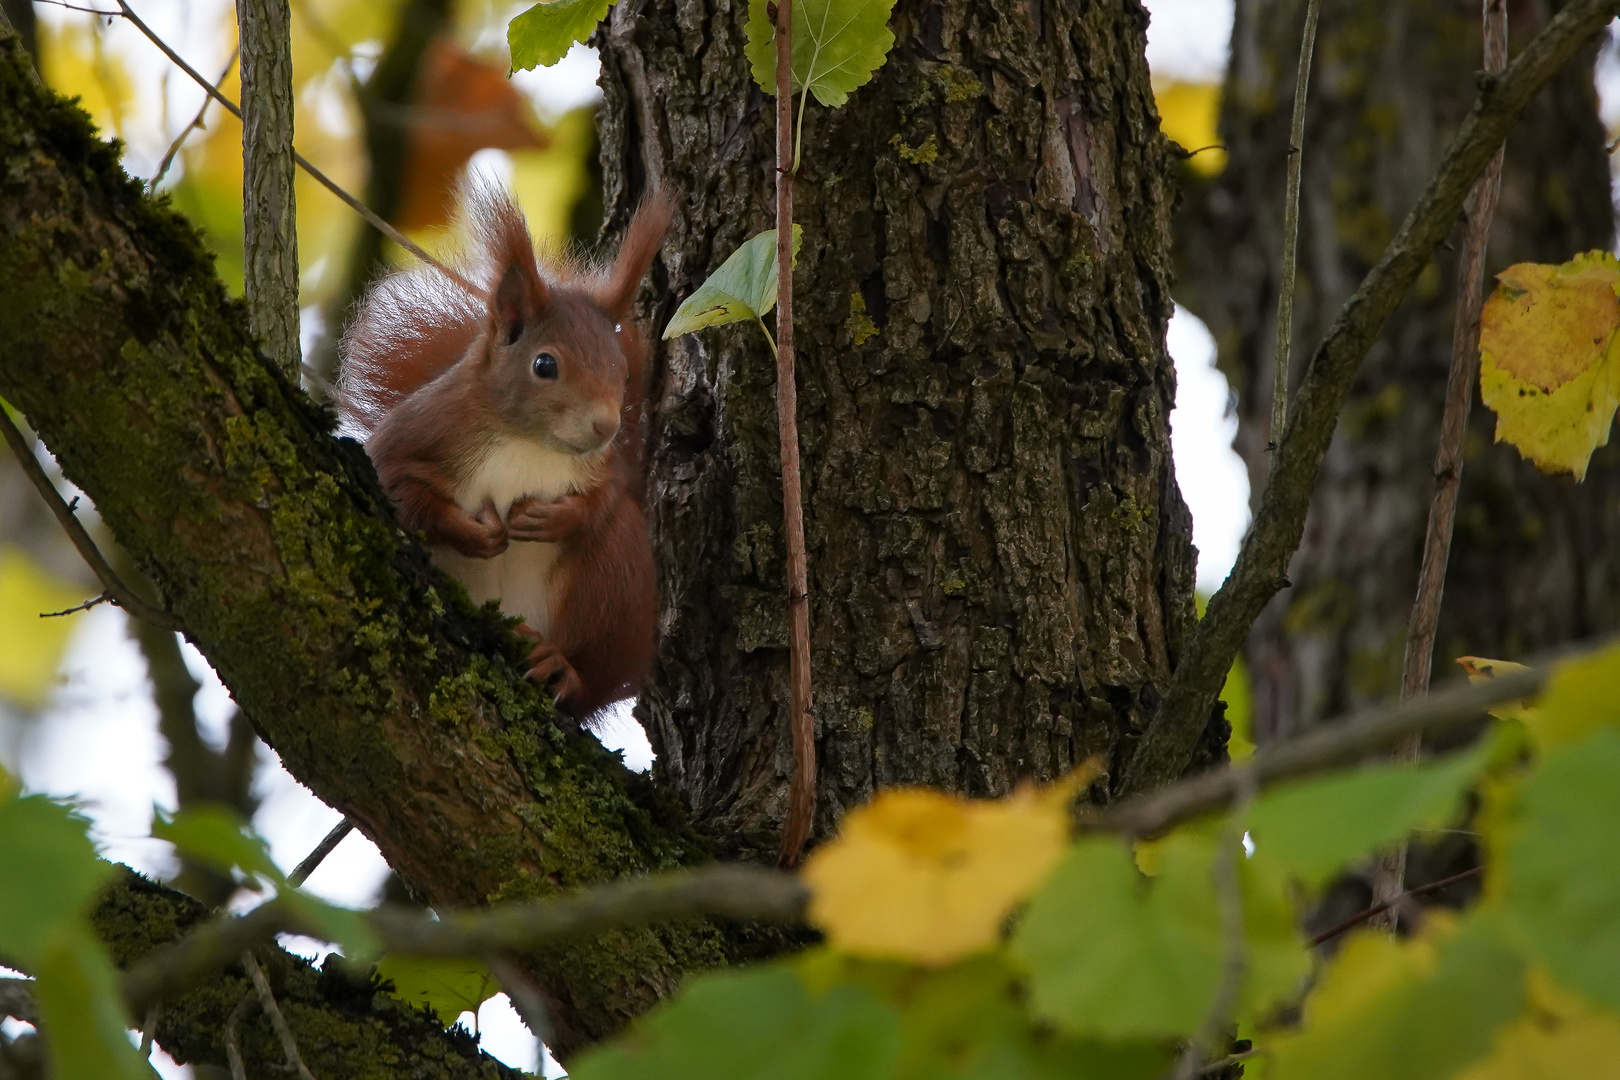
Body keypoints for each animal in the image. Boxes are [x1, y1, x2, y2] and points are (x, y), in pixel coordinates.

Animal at [338, 183, 667, 725]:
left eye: (622, 374)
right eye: (544, 365)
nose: (606, 426)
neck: (529, 445)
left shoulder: (605, 465)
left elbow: (609, 494)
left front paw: (559, 518)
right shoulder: (419, 432)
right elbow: (396, 483)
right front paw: (472, 531)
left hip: (619, 584)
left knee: (597, 672)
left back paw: (563, 669)